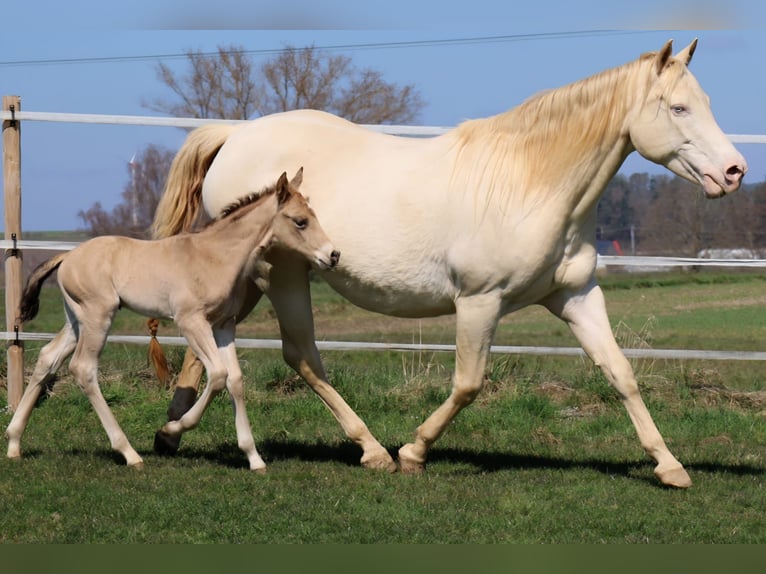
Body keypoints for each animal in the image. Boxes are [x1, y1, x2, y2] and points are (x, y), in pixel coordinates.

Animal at [6, 170, 340, 470]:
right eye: (300, 221)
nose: (333, 255)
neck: (216, 256)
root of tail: (67, 257)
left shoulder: (224, 325)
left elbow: (235, 380)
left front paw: (254, 458)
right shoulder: (191, 322)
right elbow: (218, 375)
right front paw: (171, 429)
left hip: (77, 320)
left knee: (48, 358)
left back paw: (13, 442)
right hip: (98, 316)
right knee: (83, 369)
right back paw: (129, 453)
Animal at [149, 40, 747, 487]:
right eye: (678, 108)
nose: (735, 172)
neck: (532, 183)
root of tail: (235, 134)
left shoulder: (575, 295)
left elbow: (620, 372)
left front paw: (669, 466)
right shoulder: (480, 302)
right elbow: (468, 383)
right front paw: (414, 451)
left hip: (249, 280)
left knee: (209, 345)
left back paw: (170, 432)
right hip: (284, 275)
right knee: (301, 356)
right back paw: (372, 450)